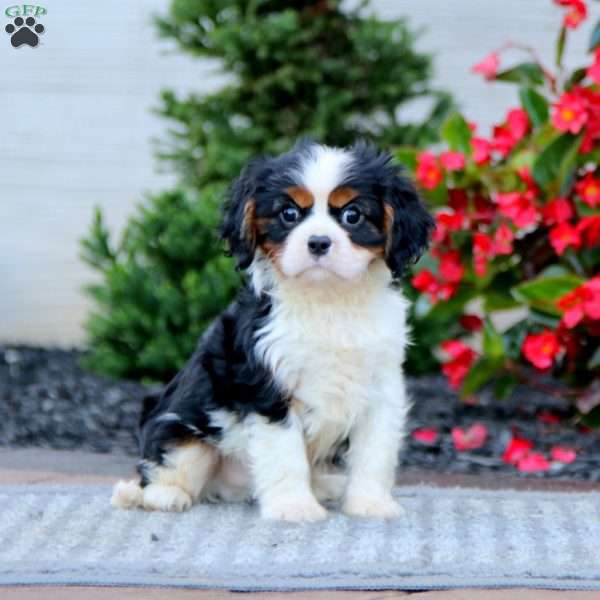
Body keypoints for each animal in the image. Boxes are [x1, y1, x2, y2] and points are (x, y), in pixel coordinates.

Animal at [111, 141, 432, 520]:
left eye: (352, 215)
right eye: (288, 214)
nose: (318, 242)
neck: (329, 299)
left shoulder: (381, 389)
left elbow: (374, 453)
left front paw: (370, 504)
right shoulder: (267, 389)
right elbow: (285, 455)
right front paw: (295, 508)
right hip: (180, 428)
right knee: (167, 467)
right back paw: (164, 496)